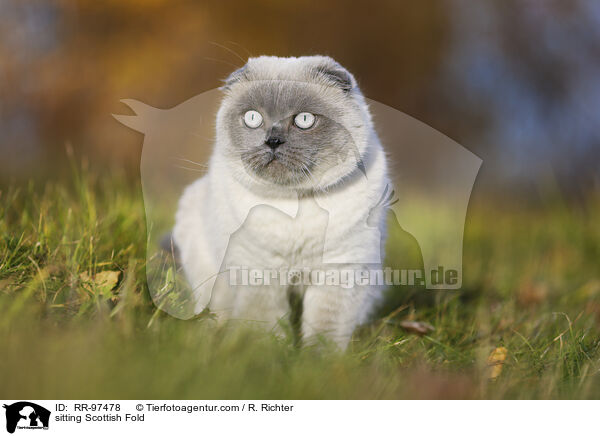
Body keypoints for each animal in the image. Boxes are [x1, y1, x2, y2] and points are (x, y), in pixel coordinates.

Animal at [173, 55, 390, 348]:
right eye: (253, 118)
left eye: (304, 120)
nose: (273, 141)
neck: (294, 205)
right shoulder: (259, 270)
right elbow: (263, 322)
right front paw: (267, 352)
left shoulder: (339, 271)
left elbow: (324, 330)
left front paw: (316, 358)